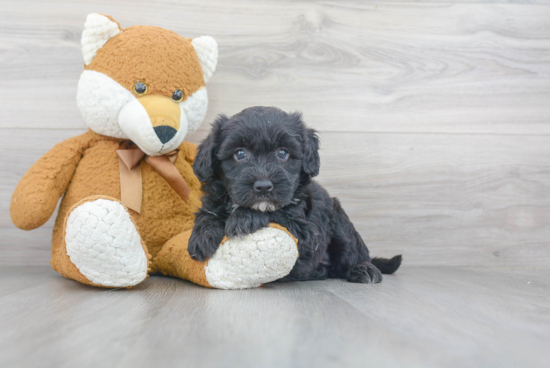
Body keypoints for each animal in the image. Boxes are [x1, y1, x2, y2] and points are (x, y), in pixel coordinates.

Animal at [189, 106, 402, 284]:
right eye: (240, 154)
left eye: (283, 153)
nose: (263, 187)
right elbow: (208, 213)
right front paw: (203, 235)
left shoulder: (305, 231)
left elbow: (276, 213)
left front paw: (244, 217)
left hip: (340, 223)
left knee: (353, 251)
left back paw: (363, 269)